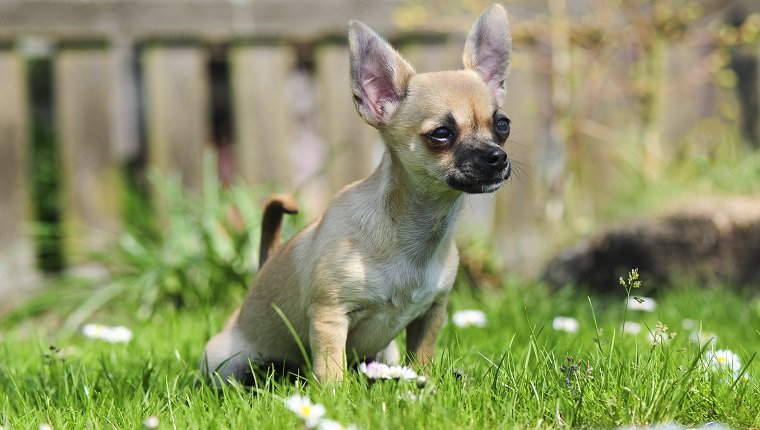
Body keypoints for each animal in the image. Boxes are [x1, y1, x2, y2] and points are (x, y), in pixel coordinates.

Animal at [202, 4, 512, 382]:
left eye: (503, 125)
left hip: (386, 351)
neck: (414, 229)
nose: (497, 157)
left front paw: (423, 381)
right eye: (441, 133)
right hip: (223, 360)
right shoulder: (330, 317)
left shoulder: (431, 314)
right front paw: (335, 394)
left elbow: (421, 357)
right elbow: (331, 371)